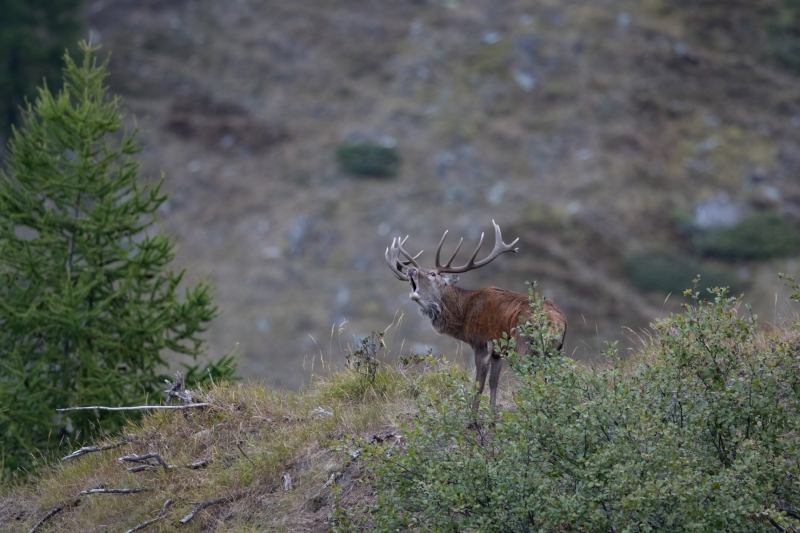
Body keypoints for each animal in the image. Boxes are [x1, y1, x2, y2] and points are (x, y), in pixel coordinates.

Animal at [385, 220, 567, 410]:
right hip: (556, 350)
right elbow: (493, 382)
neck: (463, 316)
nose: (411, 271)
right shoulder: (498, 352)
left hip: (526, 347)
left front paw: (472, 415)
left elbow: (478, 385)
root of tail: (557, 322)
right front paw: (493, 413)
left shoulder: (481, 344)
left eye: (432, 273)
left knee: (535, 379)